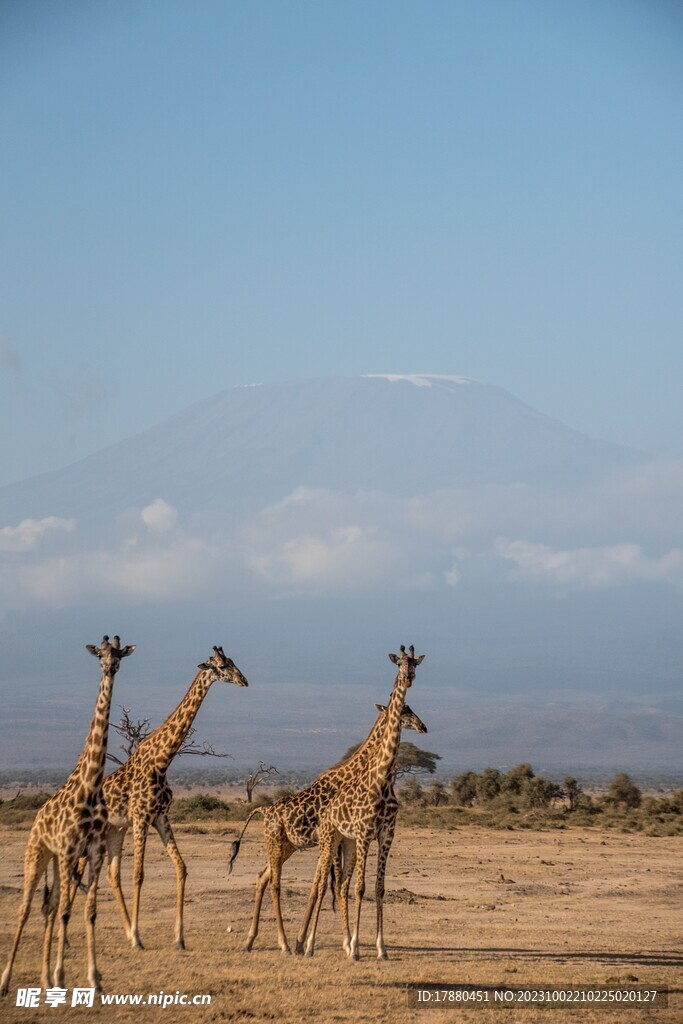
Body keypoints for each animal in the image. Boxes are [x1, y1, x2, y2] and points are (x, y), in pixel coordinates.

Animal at [0, 634, 136, 995]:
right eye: (100, 655)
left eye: (119, 655)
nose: (110, 668)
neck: (90, 787)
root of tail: (36, 819)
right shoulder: (69, 849)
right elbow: (65, 912)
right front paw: (62, 975)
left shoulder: (93, 851)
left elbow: (88, 911)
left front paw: (93, 978)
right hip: (39, 853)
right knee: (27, 908)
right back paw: (7, 980)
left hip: (58, 860)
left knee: (49, 906)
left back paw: (44, 978)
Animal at [92, 643, 246, 946]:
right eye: (222, 667)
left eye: (234, 662)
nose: (244, 681)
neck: (162, 762)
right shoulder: (141, 818)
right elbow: (138, 874)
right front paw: (138, 936)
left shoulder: (160, 817)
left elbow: (182, 868)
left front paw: (179, 937)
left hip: (115, 830)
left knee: (111, 874)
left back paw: (122, 929)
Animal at [227, 692, 423, 954]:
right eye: (404, 710)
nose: (422, 726)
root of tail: (264, 809)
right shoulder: (334, 838)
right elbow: (330, 885)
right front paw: (328, 941)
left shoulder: (340, 839)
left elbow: (328, 885)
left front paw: (315, 940)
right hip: (277, 843)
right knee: (274, 884)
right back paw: (284, 943)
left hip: (287, 847)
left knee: (262, 877)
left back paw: (251, 939)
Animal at [296, 643, 423, 954]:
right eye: (399, 663)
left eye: (415, 663)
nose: (423, 726)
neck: (383, 778)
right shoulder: (364, 833)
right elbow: (359, 887)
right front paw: (354, 945)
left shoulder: (386, 833)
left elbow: (377, 887)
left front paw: (379, 946)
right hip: (331, 839)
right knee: (321, 883)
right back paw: (305, 942)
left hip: (346, 842)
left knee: (335, 884)